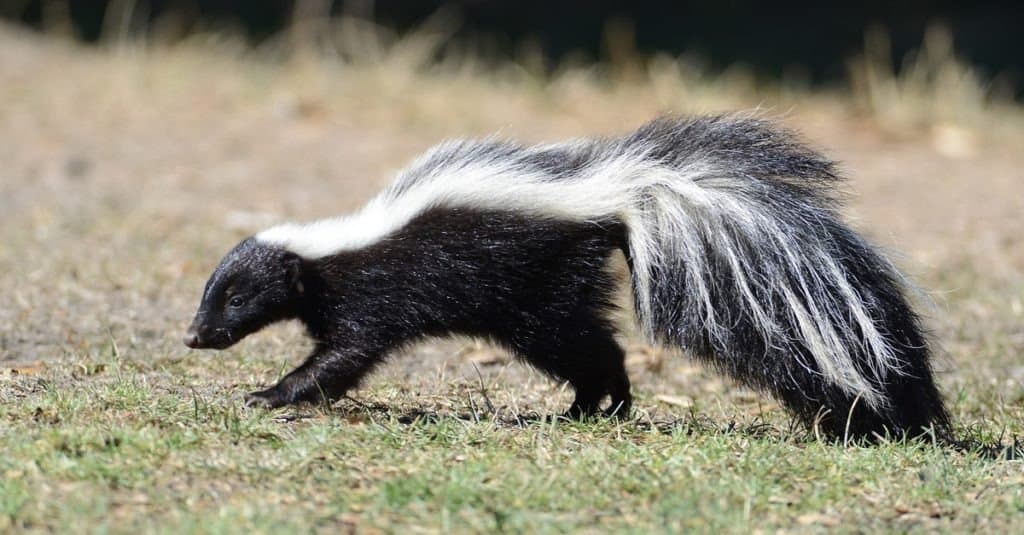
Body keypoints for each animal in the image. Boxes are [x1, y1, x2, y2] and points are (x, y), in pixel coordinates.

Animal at [184, 115, 950, 436]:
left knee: (590, 347)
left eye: (235, 296)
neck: (334, 246)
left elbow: (345, 354)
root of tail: (616, 192)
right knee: (591, 344)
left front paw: (271, 392)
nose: (194, 336)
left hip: (534, 293)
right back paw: (591, 407)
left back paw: (604, 404)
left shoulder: (373, 294)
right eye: (212, 293)